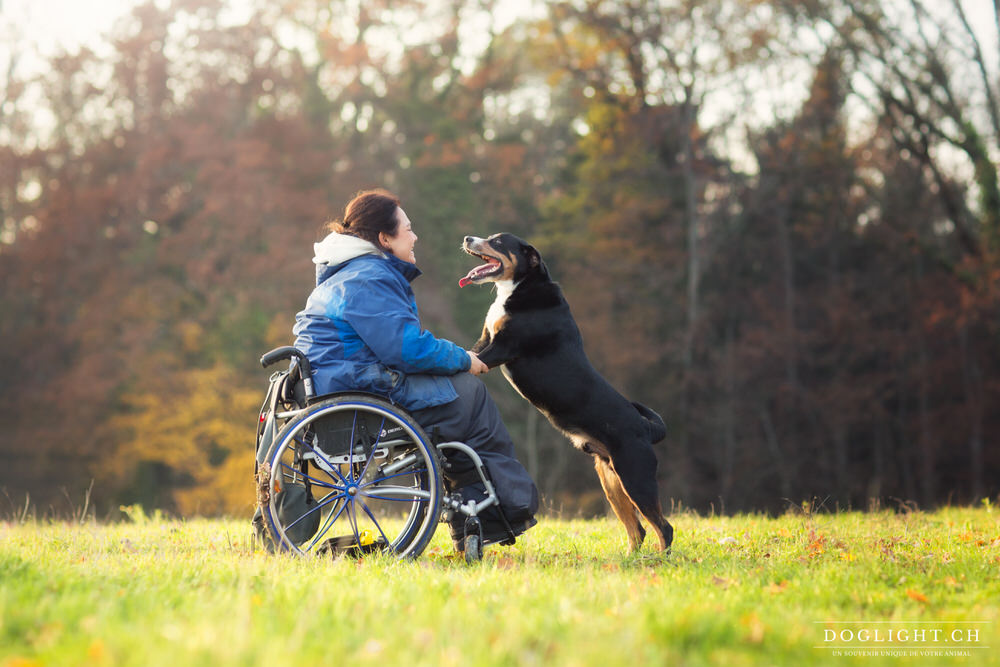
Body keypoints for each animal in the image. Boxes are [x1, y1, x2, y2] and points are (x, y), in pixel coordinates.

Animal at [458, 232, 672, 552]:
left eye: (497, 242)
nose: (468, 238)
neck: (519, 289)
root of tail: (646, 429)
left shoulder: (501, 347)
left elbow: (470, 362)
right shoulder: (485, 340)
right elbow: (463, 352)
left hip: (636, 478)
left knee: (663, 528)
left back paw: (657, 559)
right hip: (612, 482)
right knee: (638, 530)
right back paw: (631, 559)